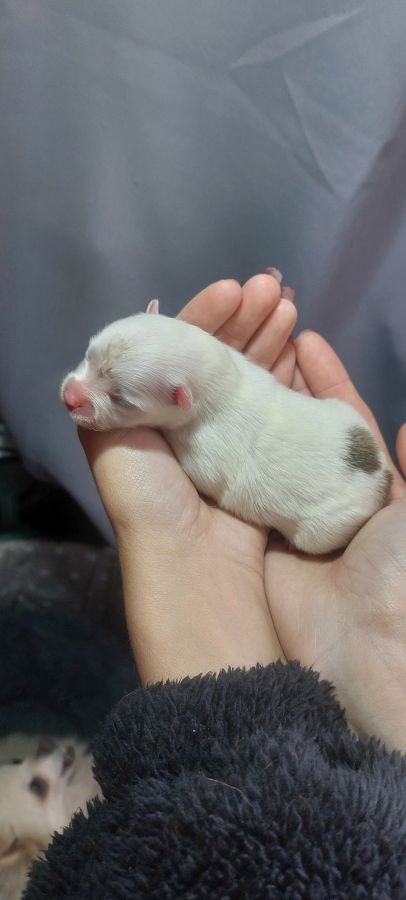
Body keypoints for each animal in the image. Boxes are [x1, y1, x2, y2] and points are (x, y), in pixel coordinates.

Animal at [60, 301, 392, 554]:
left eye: (120, 400)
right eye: (88, 356)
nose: (69, 399)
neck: (221, 381)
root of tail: (383, 476)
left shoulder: (201, 456)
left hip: (323, 529)